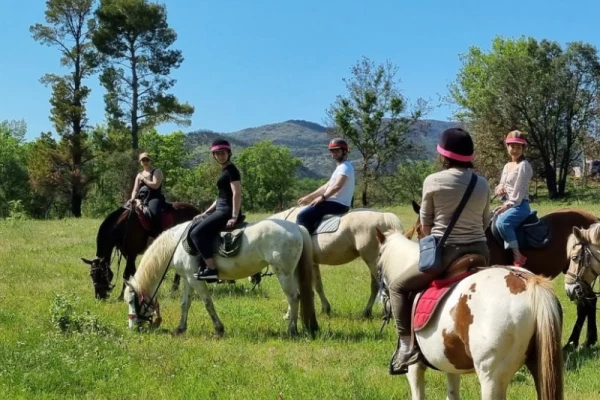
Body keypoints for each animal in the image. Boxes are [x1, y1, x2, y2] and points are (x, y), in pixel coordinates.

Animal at [123, 219, 318, 338]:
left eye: (132, 301)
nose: (132, 327)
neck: (175, 244)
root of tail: (296, 227)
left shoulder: (196, 280)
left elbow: (208, 303)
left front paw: (218, 329)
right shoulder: (188, 279)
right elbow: (185, 304)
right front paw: (180, 328)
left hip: (283, 273)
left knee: (293, 297)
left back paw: (292, 330)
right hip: (293, 272)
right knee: (301, 295)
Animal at [268, 208, 404, 318]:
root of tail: (384, 217)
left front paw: (289, 314)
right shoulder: (313, 264)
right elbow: (318, 286)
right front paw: (325, 309)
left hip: (372, 261)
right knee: (376, 286)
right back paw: (367, 312)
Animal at [378, 228, 564, 400]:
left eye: (378, 265)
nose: (382, 302)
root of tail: (527, 281)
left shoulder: (414, 367)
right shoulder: (450, 363)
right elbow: (452, 394)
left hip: (491, 379)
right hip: (541, 368)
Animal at [406, 202, 596, 348]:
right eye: (418, 230)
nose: (428, 265)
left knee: (585, 304)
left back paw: (575, 342)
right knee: (588, 302)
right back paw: (585, 341)